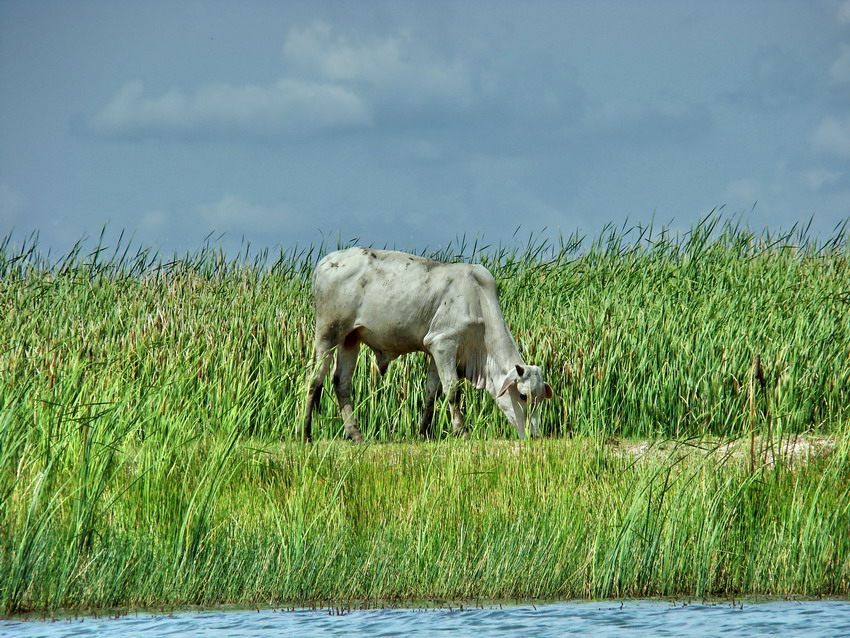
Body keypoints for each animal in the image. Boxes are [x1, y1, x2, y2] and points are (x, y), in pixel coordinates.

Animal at [302, 248, 552, 442]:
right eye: (523, 396)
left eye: (541, 398)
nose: (534, 435)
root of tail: (326, 261)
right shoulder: (444, 343)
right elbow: (452, 390)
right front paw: (461, 431)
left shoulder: (436, 352)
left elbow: (432, 392)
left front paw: (424, 433)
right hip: (328, 333)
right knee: (315, 379)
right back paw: (306, 433)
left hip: (351, 338)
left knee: (341, 382)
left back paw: (355, 434)